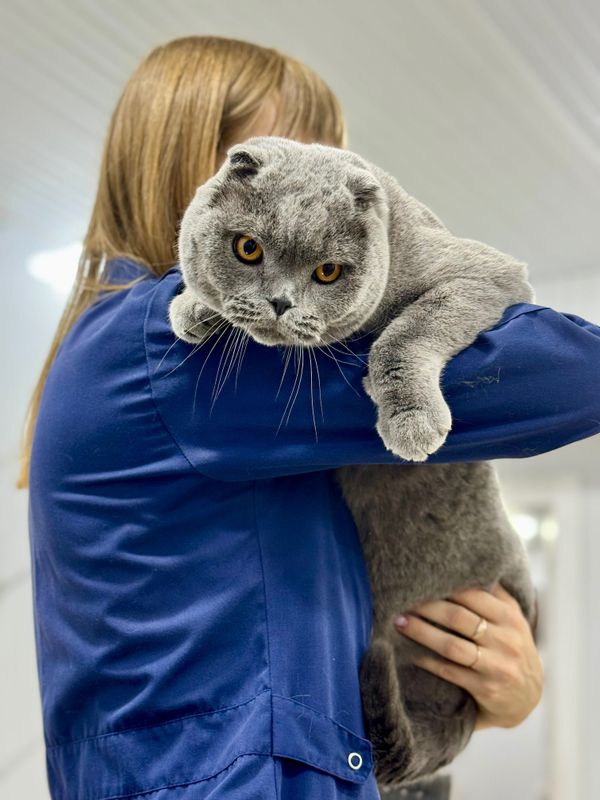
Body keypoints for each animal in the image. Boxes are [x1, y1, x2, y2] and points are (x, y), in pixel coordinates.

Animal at [170, 136, 540, 788]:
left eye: (328, 273)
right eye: (247, 248)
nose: (279, 302)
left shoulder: (482, 274)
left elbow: (405, 331)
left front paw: (411, 421)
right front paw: (192, 308)